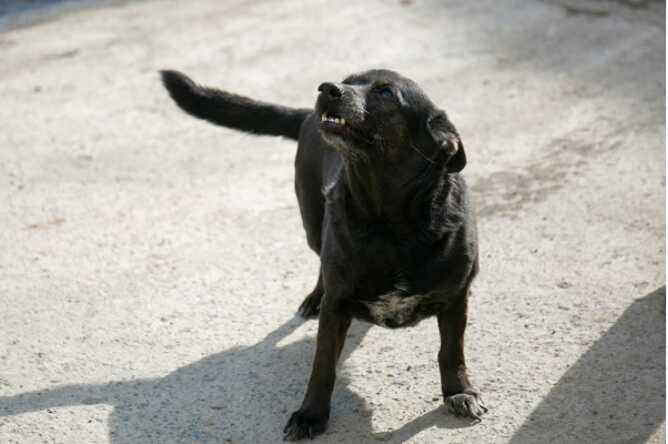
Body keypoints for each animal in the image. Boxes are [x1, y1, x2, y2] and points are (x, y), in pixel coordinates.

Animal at [160, 69, 488, 440]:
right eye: (349, 79)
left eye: (386, 93)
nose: (327, 89)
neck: (388, 224)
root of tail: (307, 117)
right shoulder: (338, 306)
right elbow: (322, 365)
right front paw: (311, 414)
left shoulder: (456, 297)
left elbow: (451, 352)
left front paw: (459, 392)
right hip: (313, 221)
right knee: (322, 262)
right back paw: (314, 297)